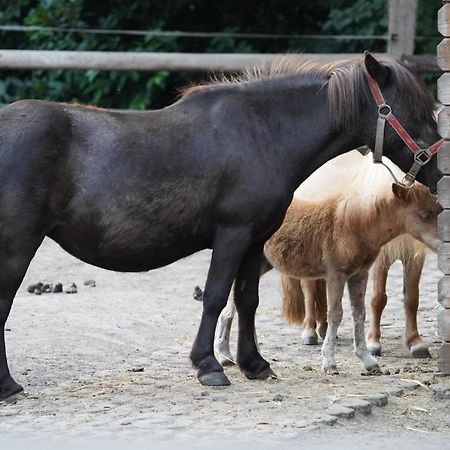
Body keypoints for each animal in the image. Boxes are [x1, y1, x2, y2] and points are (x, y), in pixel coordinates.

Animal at [0, 53, 442, 400]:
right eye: (412, 110)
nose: (438, 172)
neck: (263, 134)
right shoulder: (232, 235)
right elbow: (214, 297)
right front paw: (209, 366)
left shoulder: (255, 241)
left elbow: (246, 300)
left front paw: (253, 364)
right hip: (18, 244)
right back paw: (8, 387)